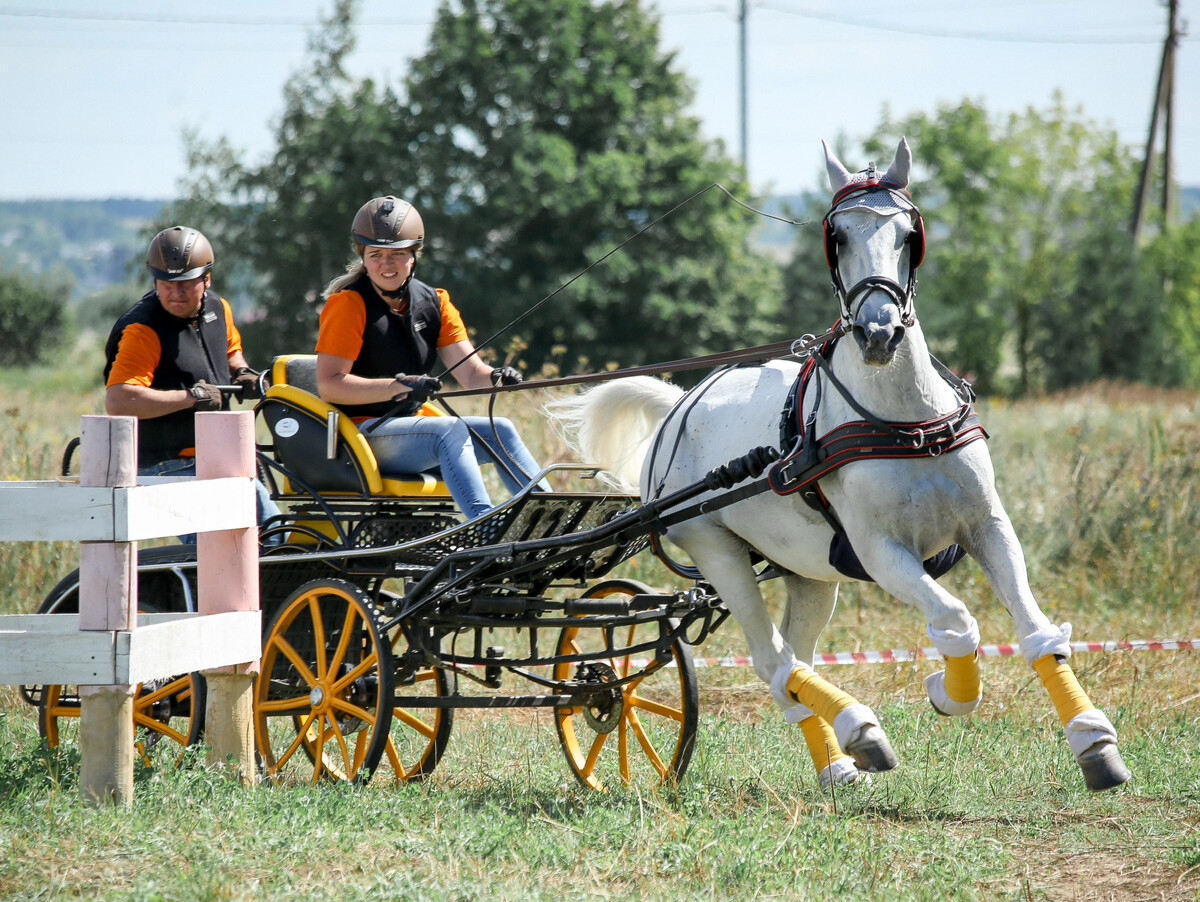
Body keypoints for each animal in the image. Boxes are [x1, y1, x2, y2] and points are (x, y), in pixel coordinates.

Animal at [549, 137, 1128, 791]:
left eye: (907, 234)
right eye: (839, 235)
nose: (878, 334)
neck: (905, 424)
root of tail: (679, 405)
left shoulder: (988, 526)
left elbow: (1035, 631)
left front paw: (1092, 740)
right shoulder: (881, 551)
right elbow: (956, 621)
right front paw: (948, 690)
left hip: (808, 572)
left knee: (795, 663)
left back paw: (837, 763)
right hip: (716, 549)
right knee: (773, 661)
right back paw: (859, 728)